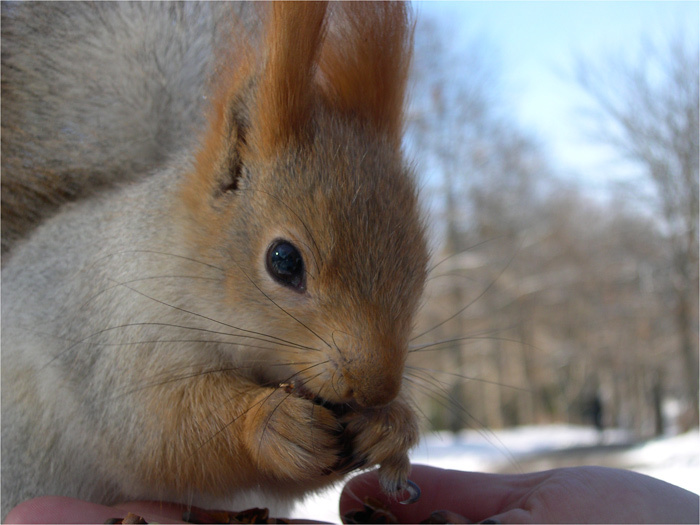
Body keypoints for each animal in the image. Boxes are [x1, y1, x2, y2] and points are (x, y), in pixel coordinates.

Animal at [1, 1, 428, 518]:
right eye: (284, 261)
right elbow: (160, 432)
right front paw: (273, 423)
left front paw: (390, 427)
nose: (377, 388)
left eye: (420, 263)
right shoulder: (117, 348)